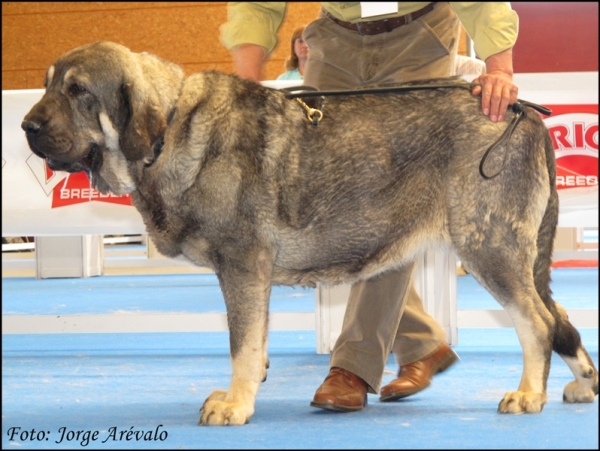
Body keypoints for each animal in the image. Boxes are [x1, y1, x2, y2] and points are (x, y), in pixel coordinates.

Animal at [22, 40, 596, 426]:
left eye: (77, 91)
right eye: (48, 84)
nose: (27, 126)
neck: (171, 128)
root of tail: (522, 111)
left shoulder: (242, 267)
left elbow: (241, 343)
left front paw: (236, 403)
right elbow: (255, 340)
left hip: (488, 245)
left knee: (537, 323)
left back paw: (528, 394)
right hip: (513, 254)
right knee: (560, 317)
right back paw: (582, 384)